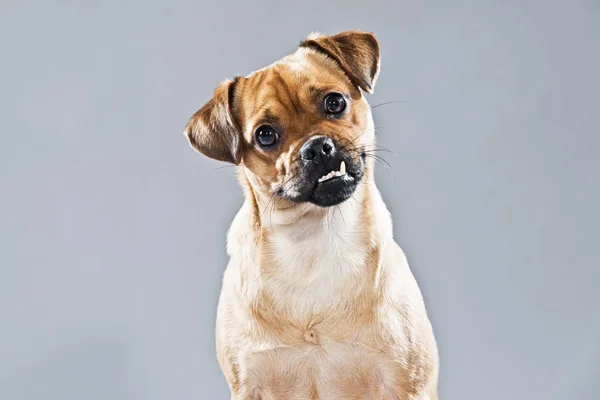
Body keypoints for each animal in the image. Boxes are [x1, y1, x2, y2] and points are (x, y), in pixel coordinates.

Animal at [183, 29, 440, 398]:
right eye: (265, 135)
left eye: (335, 103)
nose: (316, 147)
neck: (312, 238)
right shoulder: (248, 385)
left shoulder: (407, 384)